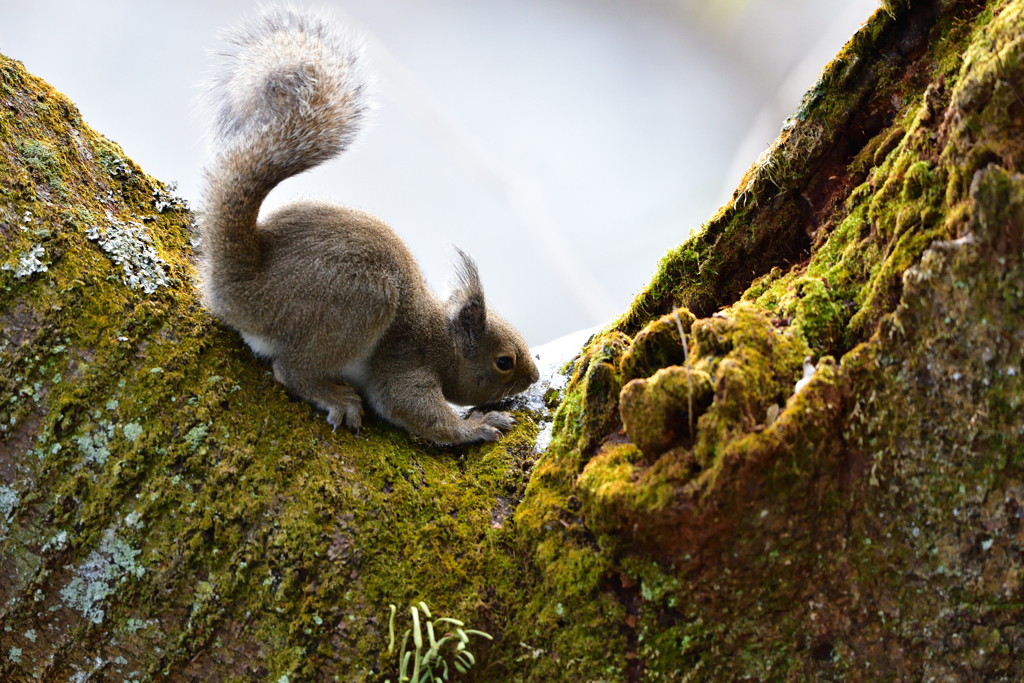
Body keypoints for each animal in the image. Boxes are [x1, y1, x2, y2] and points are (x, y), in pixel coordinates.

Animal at [194, 7, 540, 446]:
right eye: (504, 361)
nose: (534, 376)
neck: (439, 339)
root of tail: (239, 285)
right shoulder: (404, 365)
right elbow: (418, 412)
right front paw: (478, 425)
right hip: (362, 302)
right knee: (291, 370)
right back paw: (335, 396)